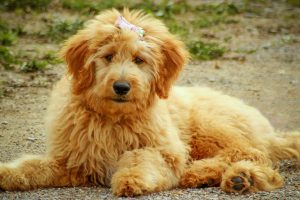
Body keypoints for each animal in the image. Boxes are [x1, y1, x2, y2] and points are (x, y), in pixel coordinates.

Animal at [0, 8, 300, 196]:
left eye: (139, 60)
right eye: (108, 56)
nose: (121, 86)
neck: (114, 118)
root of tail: (268, 131)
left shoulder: (166, 149)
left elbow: (140, 156)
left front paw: (131, 179)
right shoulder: (73, 162)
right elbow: (34, 166)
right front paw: (7, 173)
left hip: (210, 126)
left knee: (249, 153)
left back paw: (218, 174)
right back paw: (237, 179)